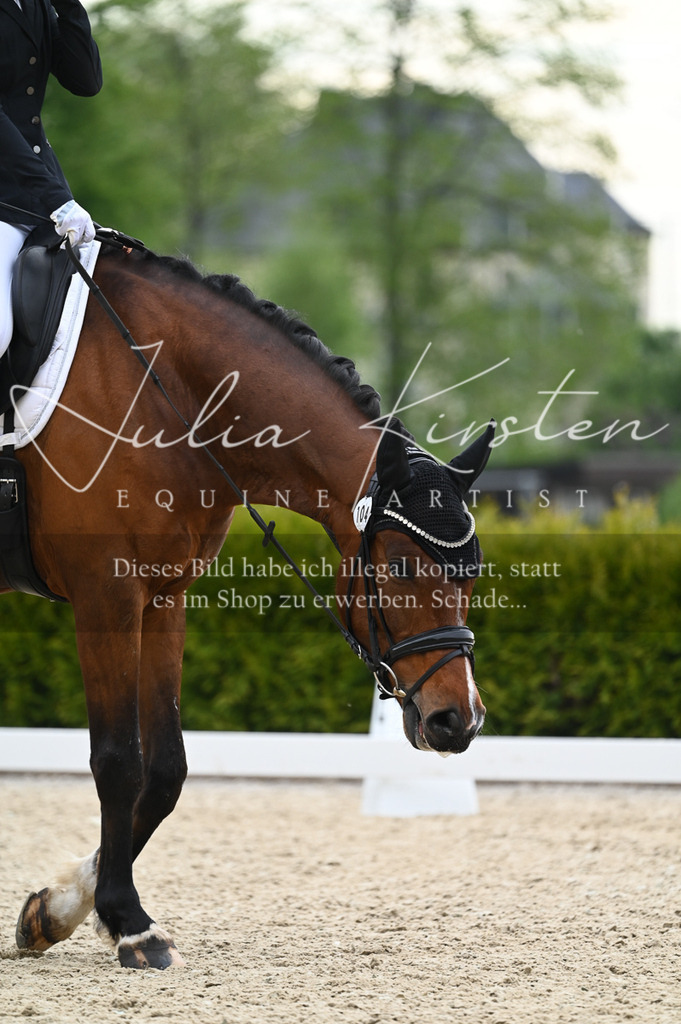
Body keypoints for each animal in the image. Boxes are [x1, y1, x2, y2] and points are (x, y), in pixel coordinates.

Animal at [8, 241, 493, 969]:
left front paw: (58, 910)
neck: (161, 386)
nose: (456, 722)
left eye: (472, 575)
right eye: (402, 565)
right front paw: (131, 925)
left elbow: (166, 770)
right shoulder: (107, 594)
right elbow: (118, 760)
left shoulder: (163, 596)